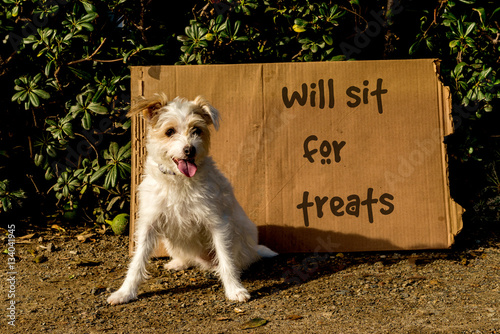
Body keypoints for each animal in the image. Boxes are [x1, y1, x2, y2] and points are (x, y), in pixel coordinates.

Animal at [107, 94, 278, 306]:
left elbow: (226, 259)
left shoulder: (217, 223)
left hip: (239, 236)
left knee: (235, 261)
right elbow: (137, 262)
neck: (179, 180)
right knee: (188, 258)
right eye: (169, 131)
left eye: (197, 130)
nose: (190, 149)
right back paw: (178, 263)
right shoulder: (149, 224)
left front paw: (234, 289)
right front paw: (125, 292)